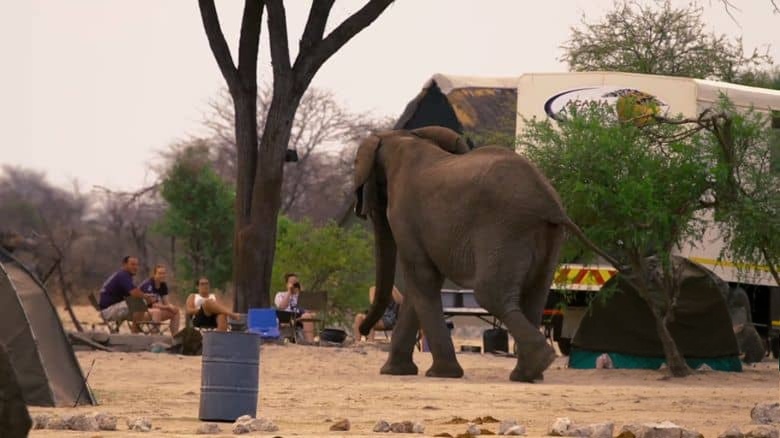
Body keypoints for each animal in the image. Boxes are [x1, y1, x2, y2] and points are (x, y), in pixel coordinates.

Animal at [354, 125, 619, 382]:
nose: (363, 330)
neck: (402, 138)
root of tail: (551, 203)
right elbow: (422, 284)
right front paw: (396, 372)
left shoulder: (404, 216)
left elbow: (422, 278)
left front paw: (440, 374)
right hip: (547, 235)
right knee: (534, 295)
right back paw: (527, 374)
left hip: (505, 230)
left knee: (490, 293)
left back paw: (537, 363)